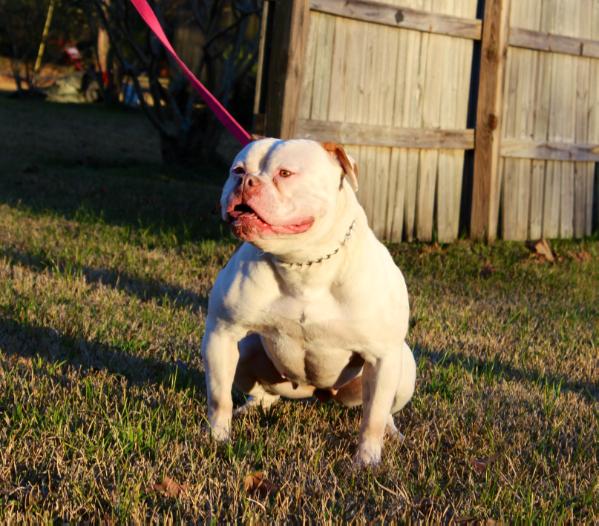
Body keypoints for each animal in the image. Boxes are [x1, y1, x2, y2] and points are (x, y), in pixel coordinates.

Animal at [202, 139, 418, 466]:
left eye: (285, 173)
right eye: (237, 170)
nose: (246, 181)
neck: (303, 264)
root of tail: (319, 392)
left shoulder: (382, 357)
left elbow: (373, 419)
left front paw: (366, 461)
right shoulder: (222, 333)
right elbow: (219, 397)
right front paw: (217, 438)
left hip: (404, 368)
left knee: (384, 410)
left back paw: (393, 433)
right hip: (248, 349)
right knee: (263, 391)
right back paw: (252, 406)